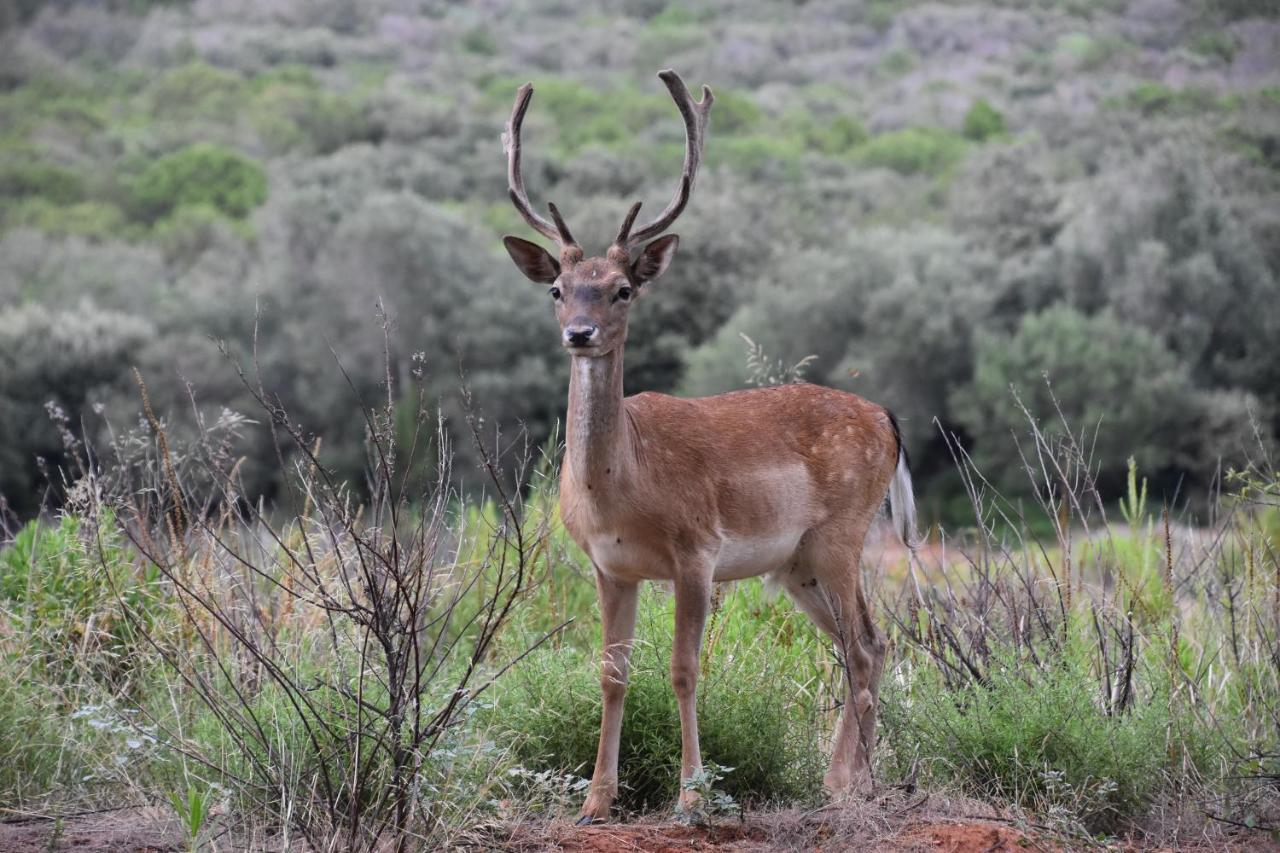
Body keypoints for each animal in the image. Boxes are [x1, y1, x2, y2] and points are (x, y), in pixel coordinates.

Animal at [499, 69, 921, 819]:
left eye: (622, 289)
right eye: (557, 288)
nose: (578, 332)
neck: (621, 489)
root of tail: (886, 418)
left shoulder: (697, 550)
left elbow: (684, 668)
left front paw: (692, 796)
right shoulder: (610, 566)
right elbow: (611, 672)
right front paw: (596, 800)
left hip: (843, 532)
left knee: (869, 642)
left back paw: (850, 783)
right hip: (797, 564)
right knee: (863, 646)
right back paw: (845, 780)